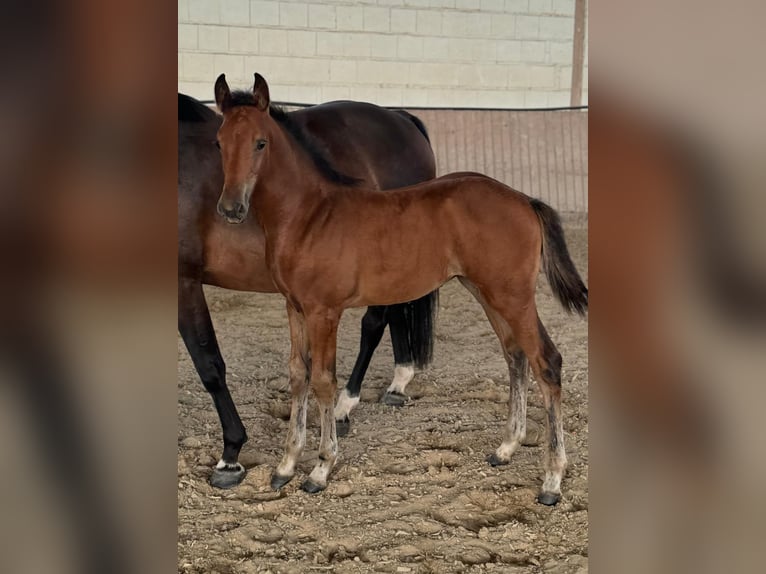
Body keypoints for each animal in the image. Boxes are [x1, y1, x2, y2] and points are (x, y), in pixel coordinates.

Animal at [178, 91, 438, 490]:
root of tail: (400, 119)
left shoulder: (184, 281)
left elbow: (209, 365)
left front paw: (230, 456)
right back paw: (397, 382)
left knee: (374, 323)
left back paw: (348, 403)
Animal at [213, 74, 592, 506]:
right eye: (219, 142)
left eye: (261, 143)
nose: (231, 208)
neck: (310, 216)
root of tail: (525, 200)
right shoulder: (294, 307)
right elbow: (298, 376)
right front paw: (285, 466)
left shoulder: (325, 311)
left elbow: (324, 381)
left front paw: (321, 469)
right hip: (488, 292)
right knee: (515, 356)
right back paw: (506, 448)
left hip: (513, 296)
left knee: (547, 361)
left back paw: (552, 479)